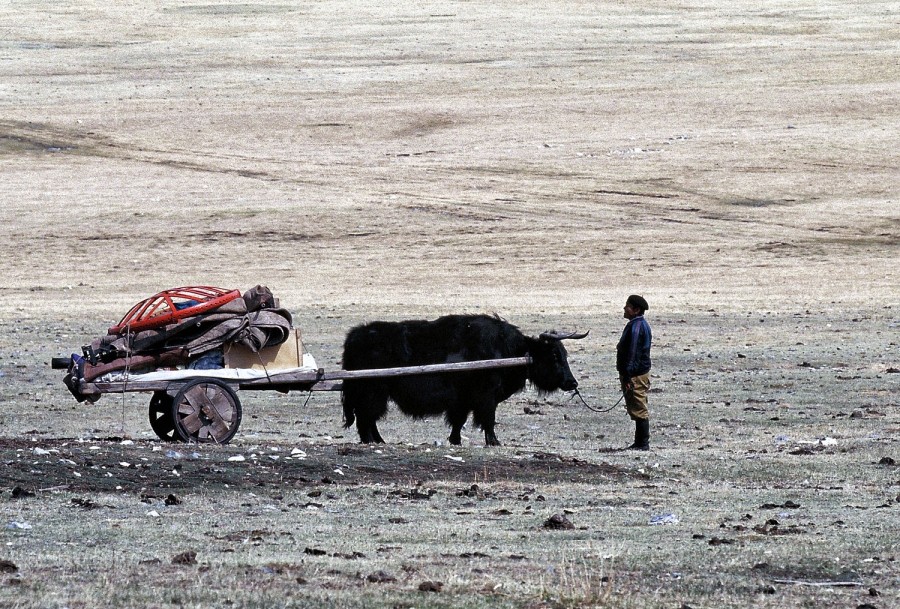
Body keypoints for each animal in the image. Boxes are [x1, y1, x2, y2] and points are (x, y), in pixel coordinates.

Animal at [340, 314, 588, 446]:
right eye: (554, 355)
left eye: (564, 354)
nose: (572, 383)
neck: (511, 351)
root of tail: (354, 337)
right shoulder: (485, 397)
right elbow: (487, 419)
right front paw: (494, 442)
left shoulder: (462, 401)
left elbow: (458, 421)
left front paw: (455, 440)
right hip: (372, 392)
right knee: (366, 417)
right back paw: (373, 441)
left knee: (367, 418)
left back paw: (378, 441)